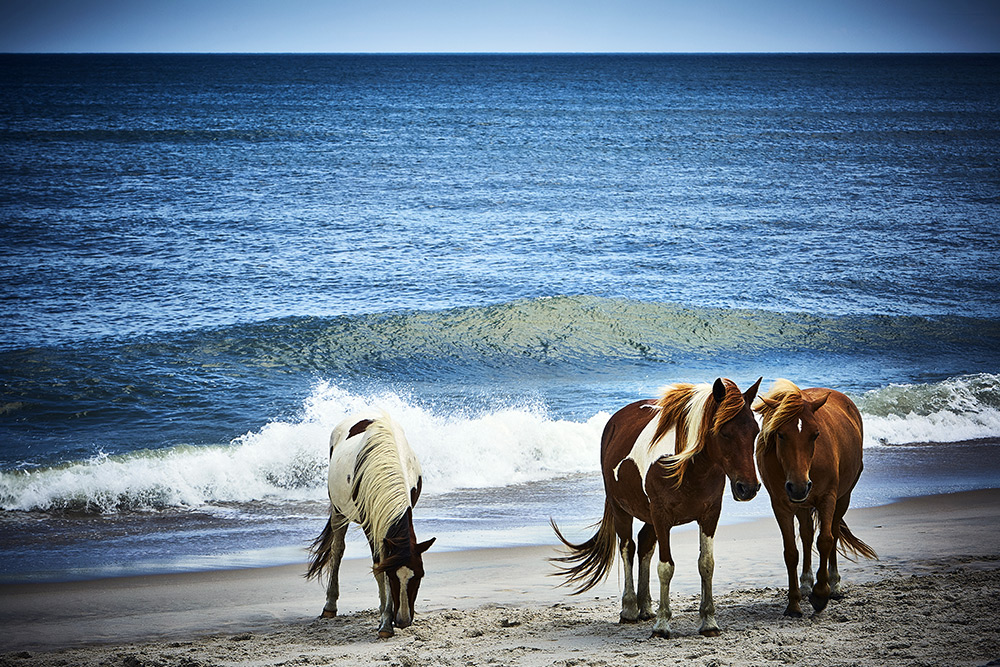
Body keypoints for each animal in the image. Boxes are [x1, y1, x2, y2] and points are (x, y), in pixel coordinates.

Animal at [302, 414, 432, 640]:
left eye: (419, 575)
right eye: (393, 577)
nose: (403, 621)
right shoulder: (370, 523)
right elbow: (379, 566)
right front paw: (386, 622)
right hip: (338, 510)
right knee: (337, 550)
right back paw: (330, 606)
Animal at [552, 378, 760, 640]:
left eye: (755, 431)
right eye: (724, 432)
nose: (748, 488)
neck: (689, 467)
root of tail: (615, 420)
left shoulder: (709, 516)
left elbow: (706, 564)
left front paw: (709, 622)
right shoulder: (662, 518)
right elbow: (666, 567)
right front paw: (662, 625)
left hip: (649, 517)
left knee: (644, 546)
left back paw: (646, 608)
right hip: (622, 510)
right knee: (628, 548)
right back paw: (630, 609)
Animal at [752, 378, 880, 620]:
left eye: (815, 434)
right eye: (780, 434)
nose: (799, 487)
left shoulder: (827, 498)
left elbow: (826, 541)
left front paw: (821, 595)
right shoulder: (781, 505)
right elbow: (791, 552)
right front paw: (794, 604)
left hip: (842, 498)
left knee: (834, 533)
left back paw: (834, 585)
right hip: (802, 505)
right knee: (807, 535)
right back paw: (805, 584)